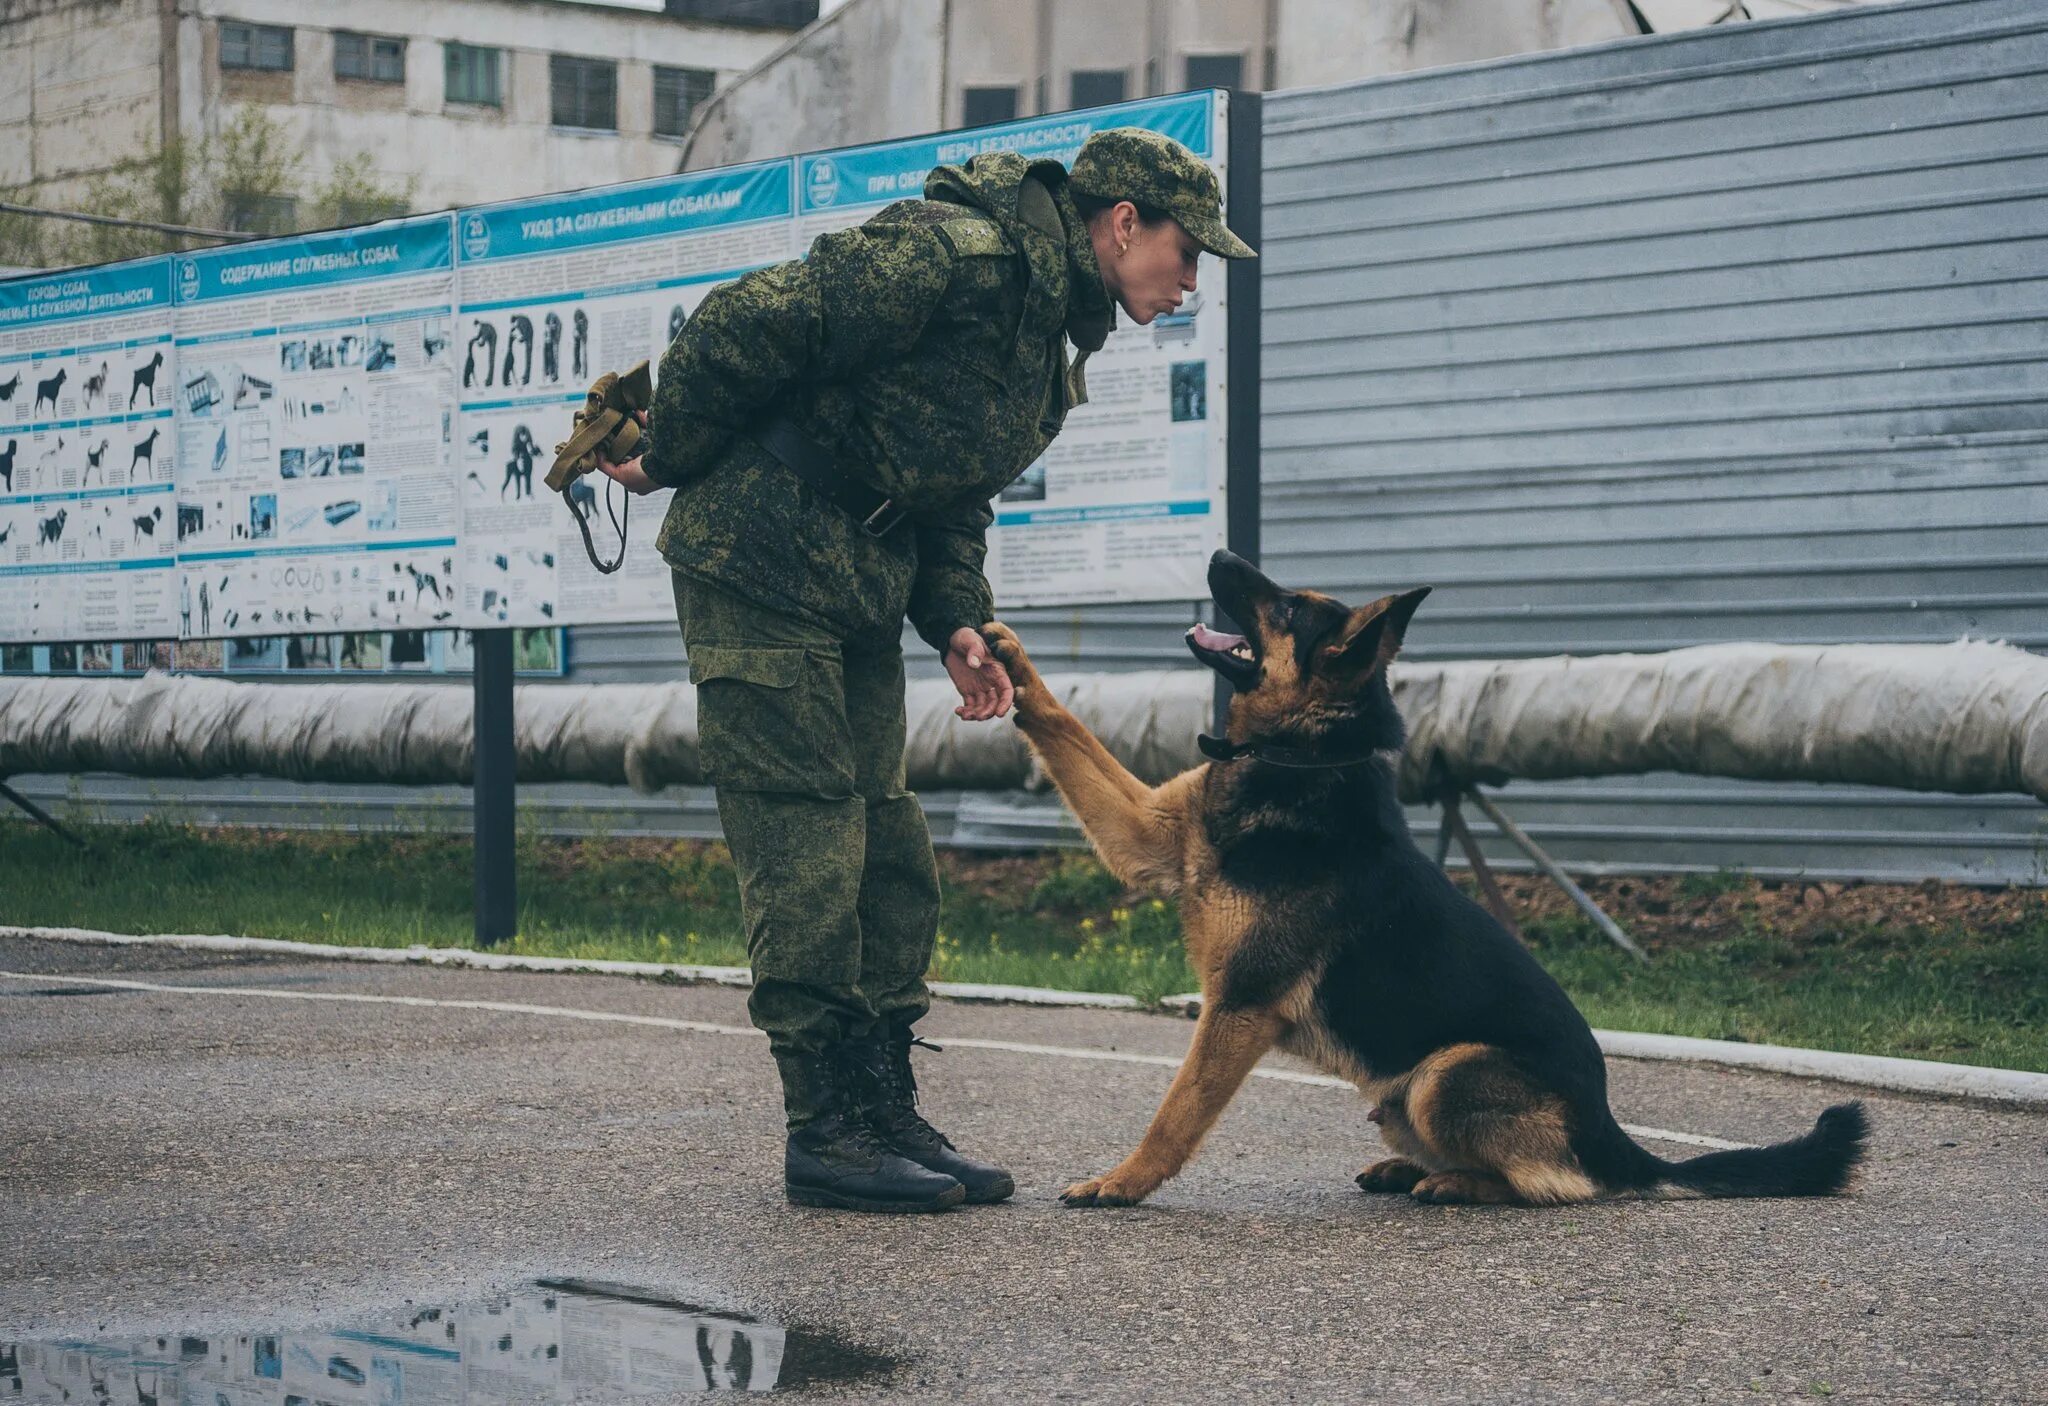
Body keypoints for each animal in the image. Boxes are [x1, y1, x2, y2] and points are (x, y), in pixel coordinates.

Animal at [983, 548, 1867, 1211]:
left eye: (1289, 608)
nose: (1221, 553)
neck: (1298, 760)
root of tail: (1617, 1139)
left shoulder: (1239, 1007)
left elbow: (1176, 1112)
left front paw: (1122, 1183)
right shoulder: (1143, 835)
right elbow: (1064, 726)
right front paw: (1008, 662)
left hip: (1449, 1072)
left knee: (1558, 1184)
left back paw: (1457, 1183)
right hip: (1400, 1095)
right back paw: (1411, 1168)